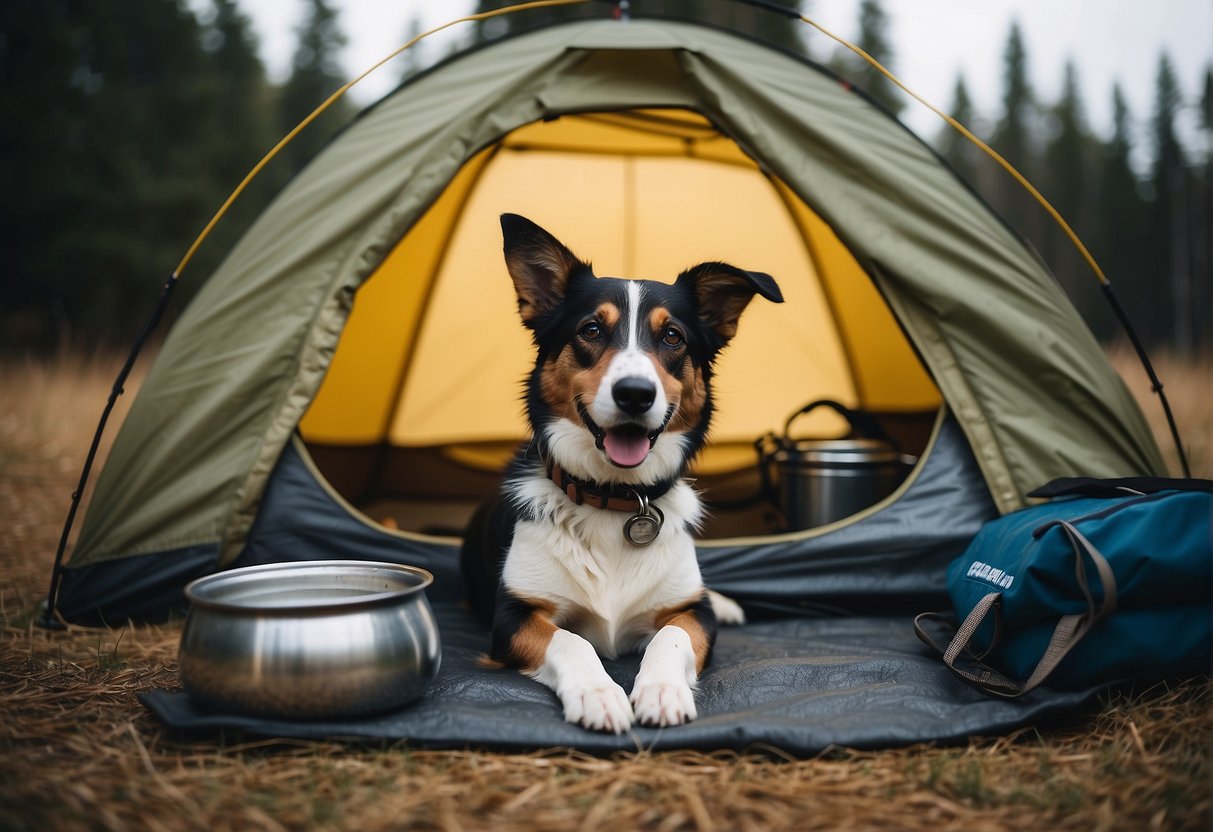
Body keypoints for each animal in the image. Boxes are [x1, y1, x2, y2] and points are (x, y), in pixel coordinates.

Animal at [458, 214, 781, 737]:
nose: (634, 393)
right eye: (591, 329)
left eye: (673, 337)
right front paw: (598, 694)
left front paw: (661, 691)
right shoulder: (512, 616)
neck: (616, 497)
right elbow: (572, 640)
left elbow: (671, 633)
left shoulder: (692, 614)